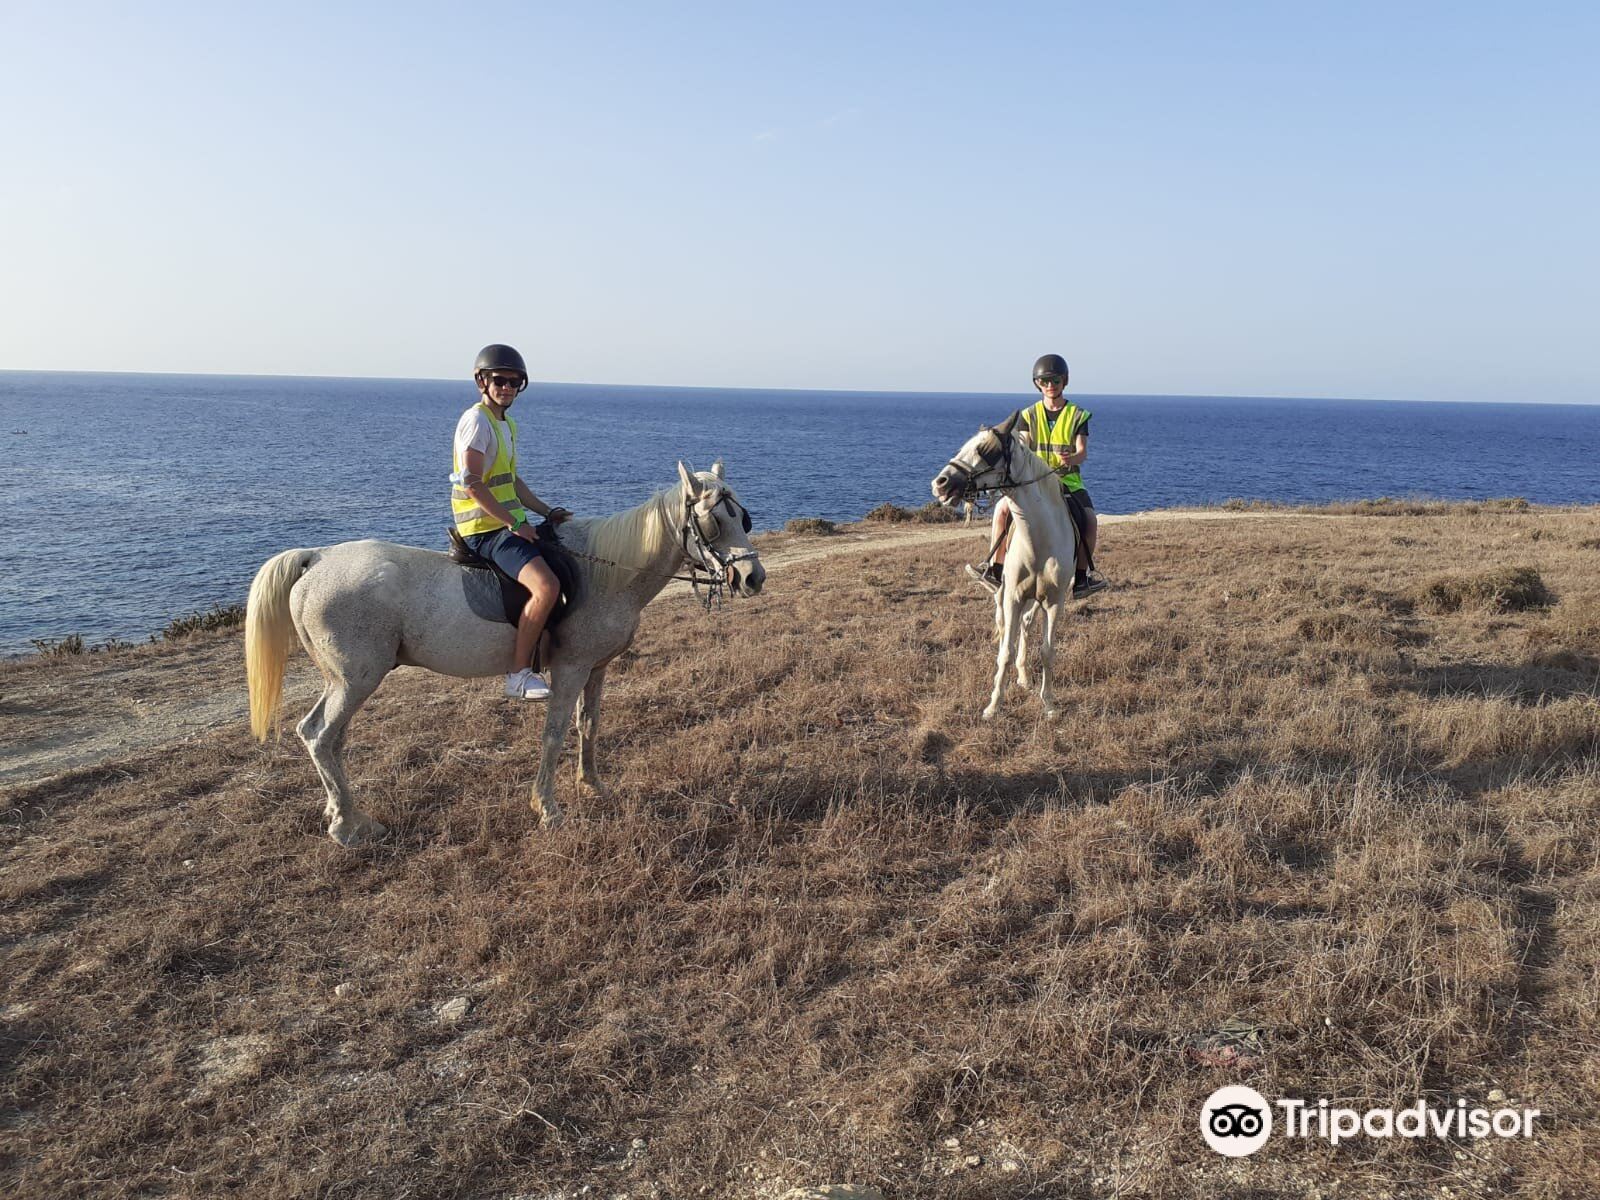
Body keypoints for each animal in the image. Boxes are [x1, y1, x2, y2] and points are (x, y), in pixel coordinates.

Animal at [246, 460, 764, 844]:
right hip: (358, 679)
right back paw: (348, 827)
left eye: (744, 517)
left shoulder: (597, 668)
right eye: (714, 520)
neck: (605, 573)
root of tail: (317, 558)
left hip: (343, 681)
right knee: (319, 736)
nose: (752, 577)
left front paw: (593, 785)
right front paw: (548, 808)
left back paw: (341, 811)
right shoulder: (570, 669)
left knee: (326, 738)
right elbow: (554, 734)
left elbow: (589, 725)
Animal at [934, 412, 1081, 720]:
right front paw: (993, 705)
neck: (1038, 538)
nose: (940, 483)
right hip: (1005, 595)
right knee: (1007, 628)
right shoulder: (1013, 596)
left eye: (985, 450)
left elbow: (1047, 651)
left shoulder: (1054, 601)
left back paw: (1025, 677)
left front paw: (1049, 704)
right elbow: (1005, 650)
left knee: (1026, 625)